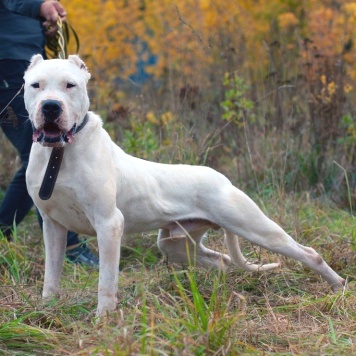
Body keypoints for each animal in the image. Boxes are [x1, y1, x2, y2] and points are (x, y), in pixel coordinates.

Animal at [23, 55, 344, 318]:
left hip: (255, 227)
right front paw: (45, 311)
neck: (60, 154)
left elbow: (107, 280)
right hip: (175, 244)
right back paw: (218, 294)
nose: (50, 106)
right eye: (35, 85)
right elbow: (51, 275)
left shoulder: (109, 224)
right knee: (223, 261)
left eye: (70, 85)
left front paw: (104, 319)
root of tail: (222, 178)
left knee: (308, 253)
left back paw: (338, 287)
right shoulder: (53, 225)